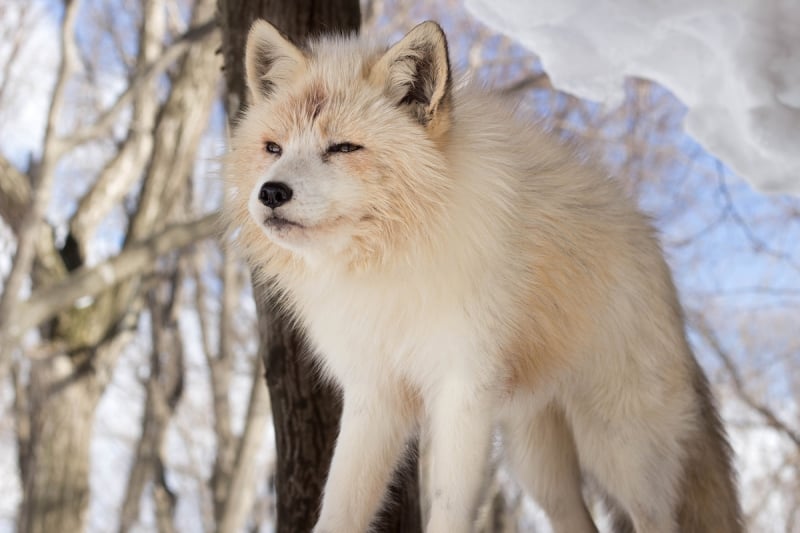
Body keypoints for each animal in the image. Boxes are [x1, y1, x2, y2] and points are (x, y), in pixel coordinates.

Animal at [220, 18, 744, 528]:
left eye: (343, 147)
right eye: (273, 148)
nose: (271, 193)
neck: (389, 267)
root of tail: (655, 249)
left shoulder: (463, 390)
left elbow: (449, 510)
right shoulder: (375, 393)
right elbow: (339, 509)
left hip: (618, 451)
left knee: (654, 517)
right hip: (538, 467)